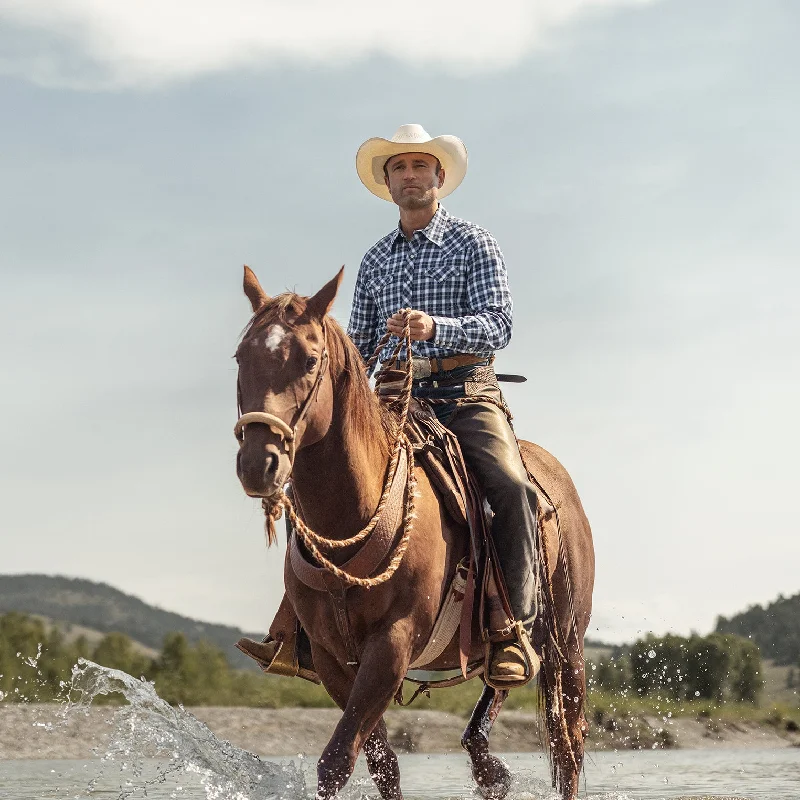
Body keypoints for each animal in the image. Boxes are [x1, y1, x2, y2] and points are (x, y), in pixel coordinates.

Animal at [231, 268, 592, 800]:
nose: (260, 462)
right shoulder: (332, 656)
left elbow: (338, 758)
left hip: (568, 643)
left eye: (310, 359)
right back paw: (491, 763)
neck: (353, 517)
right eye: (242, 357)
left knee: (569, 747)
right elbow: (380, 760)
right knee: (493, 700)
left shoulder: (393, 644)